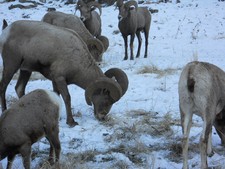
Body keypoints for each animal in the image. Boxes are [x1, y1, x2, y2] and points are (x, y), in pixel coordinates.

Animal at [0, 20, 128, 128]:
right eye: (107, 100)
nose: (102, 117)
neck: (77, 59)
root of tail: (6, 32)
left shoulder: (55, 80)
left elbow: (57, 96)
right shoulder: (60, 79)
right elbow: (67, 97)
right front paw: (71, 122)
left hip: (26, 70)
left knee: (19, 89)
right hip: (11, 66)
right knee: (3, 87)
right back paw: (4, 111)